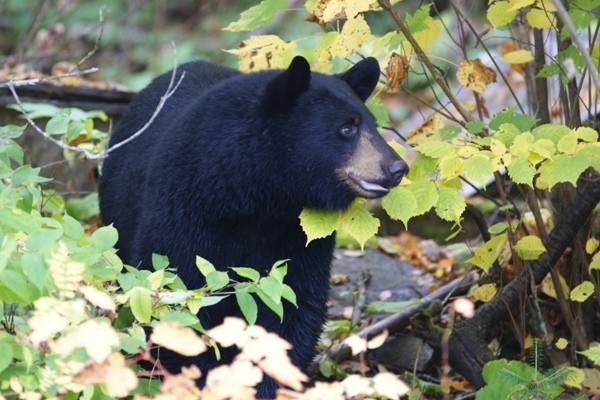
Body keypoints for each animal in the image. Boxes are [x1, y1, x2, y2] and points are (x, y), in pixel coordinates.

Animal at [99, 56, 408, 396]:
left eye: (373, 124)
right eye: (346, 128)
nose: (397, 168)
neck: (259, 194)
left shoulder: (294, 233)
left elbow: (293, 303)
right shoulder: (184, 211)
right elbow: (180, 297)